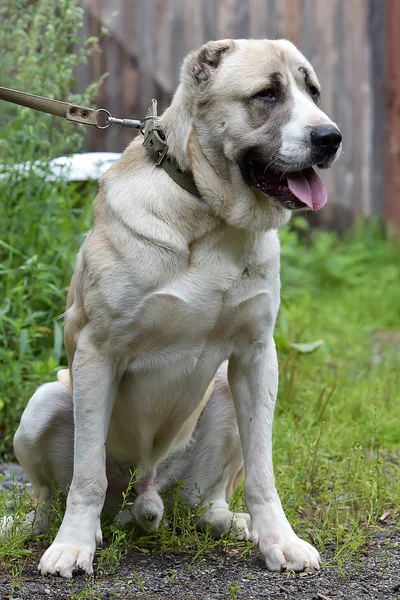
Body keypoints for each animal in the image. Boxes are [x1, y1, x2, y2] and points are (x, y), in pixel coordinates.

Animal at [9, 38, 340, 576]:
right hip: (44, 402)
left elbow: (263, 472)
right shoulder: (98, 353)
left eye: (312, 91)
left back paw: (231, 521)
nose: (331, 137)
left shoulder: (255, 356)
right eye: (267, 94)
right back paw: (47, 529)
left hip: (222, 394)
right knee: (49, 497)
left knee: (205, 502)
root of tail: (145, 492)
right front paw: (72, 546)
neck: (210, 216)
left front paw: (280, 540)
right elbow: (86, 475)